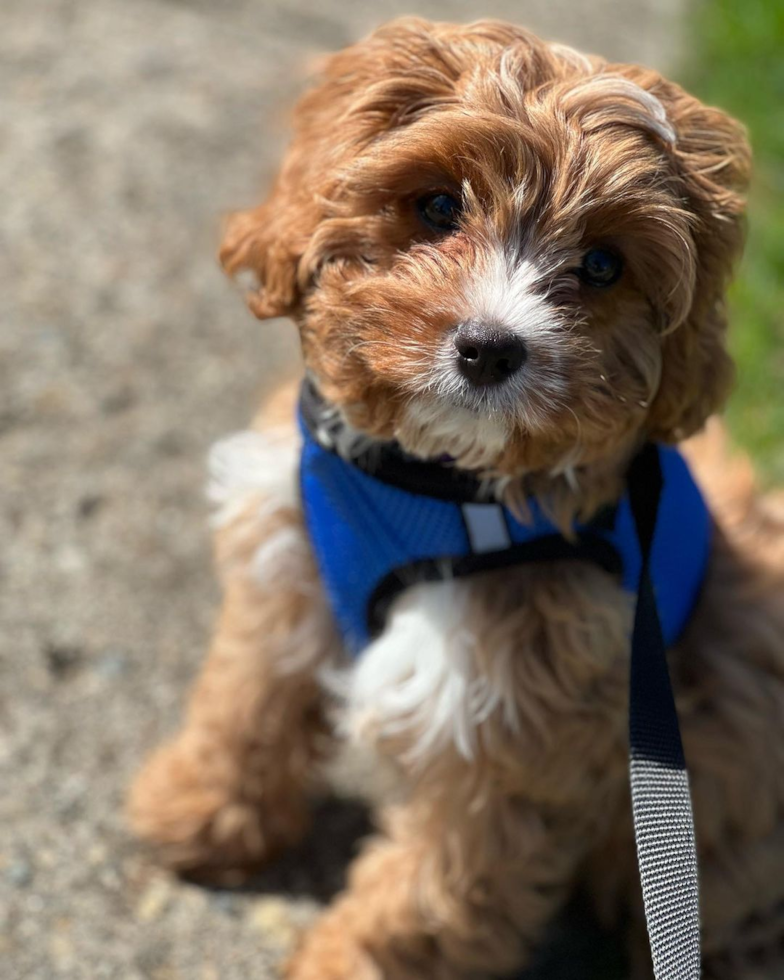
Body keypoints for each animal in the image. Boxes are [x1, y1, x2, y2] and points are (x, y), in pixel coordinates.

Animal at [129, 17, 784, 980]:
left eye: (601, 265)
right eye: (438, 207)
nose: (490, 348)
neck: (434, 480)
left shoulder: (513, 716)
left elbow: (436, 886)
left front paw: (346, 961)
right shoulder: (287, 545)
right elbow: (247, 693)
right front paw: (199, 807)